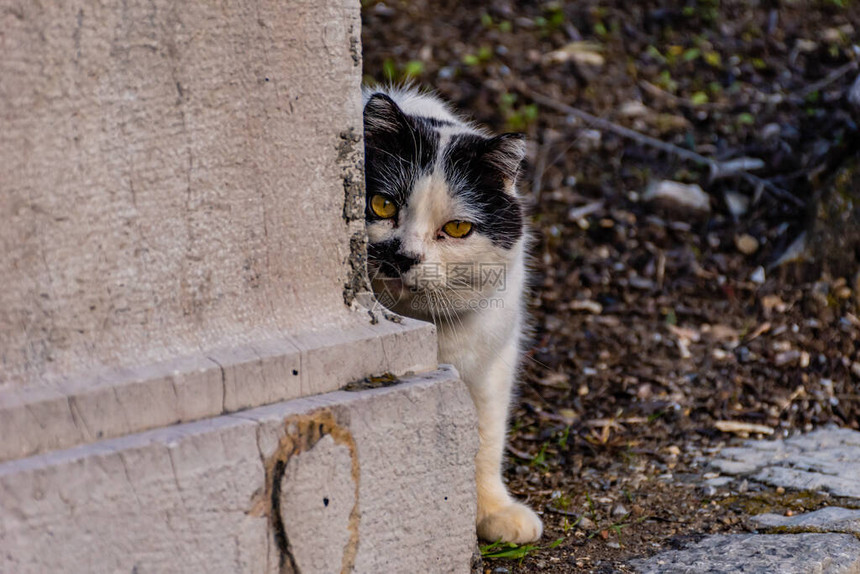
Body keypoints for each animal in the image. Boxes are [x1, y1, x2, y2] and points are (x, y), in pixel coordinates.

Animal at [362, 88, 544, 548]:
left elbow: (486, 440)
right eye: (382, 204)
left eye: (458, 228)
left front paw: (494, 514)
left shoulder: (493, 367)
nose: (404, 256)